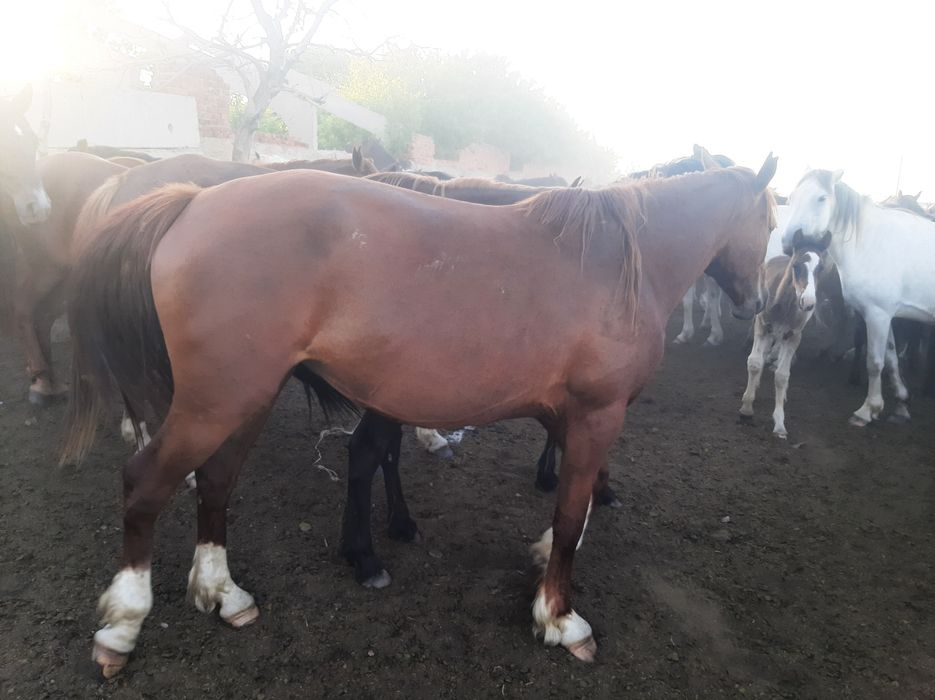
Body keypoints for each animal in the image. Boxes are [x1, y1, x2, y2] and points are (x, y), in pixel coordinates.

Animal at [62, 154, 776, 676]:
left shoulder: (566, 414)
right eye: (772, 225)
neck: (619, 263)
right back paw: (122, 625)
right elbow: (573, 513)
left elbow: (573, 509)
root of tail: (192, 202)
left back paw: (224, 593)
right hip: (217, 402)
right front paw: (558, 616)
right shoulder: (596, 415)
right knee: (145, 485)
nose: (756, 302)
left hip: (244, 400)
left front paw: (544, 558)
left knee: (215, 483)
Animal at [739, 249, 822, 437]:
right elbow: (755, 363)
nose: (808, 303)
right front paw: (747, 407)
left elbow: (782, 375)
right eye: (796, 266)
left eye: (820, 269)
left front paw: (779, 423)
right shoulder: (762, 326)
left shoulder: (793, 336)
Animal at [782, 169, 935, 426]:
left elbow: (874, 362)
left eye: (822, 198)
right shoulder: (886, 315)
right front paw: (901, 401)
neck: (872, 243)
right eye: (792, 197)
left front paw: (867, 410)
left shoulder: (877, 315)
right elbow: (891, 358)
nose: (787, 243)